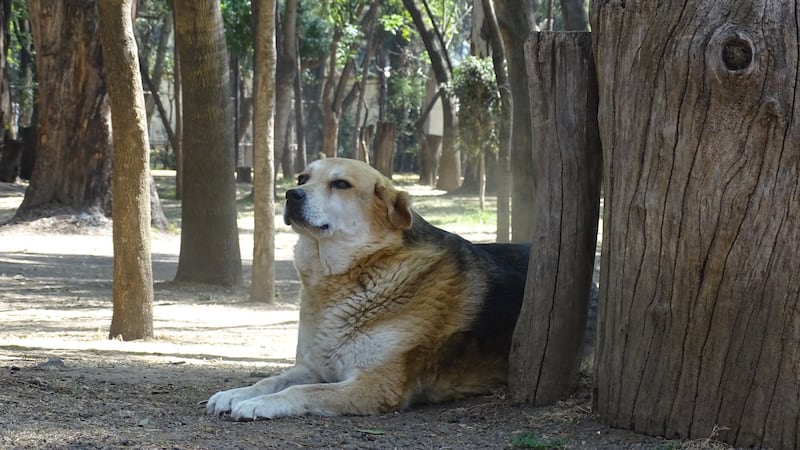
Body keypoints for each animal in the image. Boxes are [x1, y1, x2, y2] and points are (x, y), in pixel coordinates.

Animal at [206, 157, 532, 418]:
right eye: (302, 178)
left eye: (340, 184)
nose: (290, 194)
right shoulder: (313, 368)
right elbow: (271, 380)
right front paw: (235, 394)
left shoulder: (375, 384)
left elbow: (303, 391)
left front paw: (258, 404)